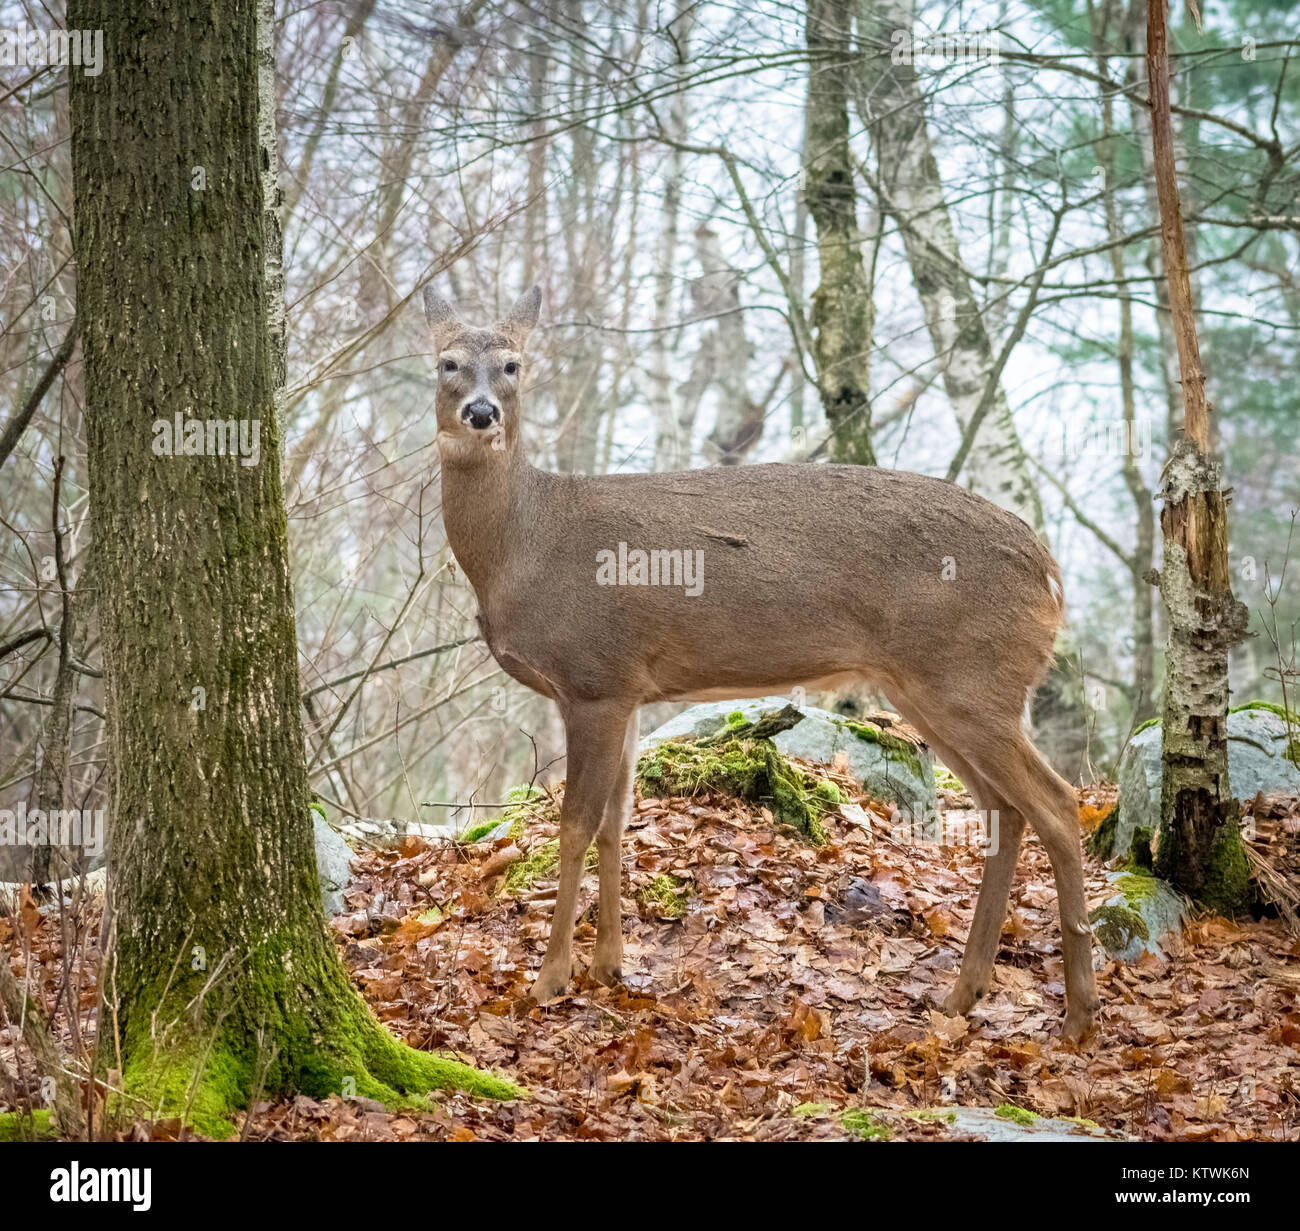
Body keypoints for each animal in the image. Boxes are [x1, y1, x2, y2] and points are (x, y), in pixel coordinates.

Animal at [425, 284, 1100, 1040]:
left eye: (513, 364)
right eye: (447, 361)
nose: (481, 411)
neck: (521, 548)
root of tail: (1050, 571)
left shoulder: (592, 678)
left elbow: (572, 826)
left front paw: (550, 980)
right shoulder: (628, 689)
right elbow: (614, 822)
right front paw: (609, 967)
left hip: (972, 679)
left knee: (1057, 803)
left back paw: (1078, 1013)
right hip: (932, 689)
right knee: (1004, 809)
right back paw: (965, 993)